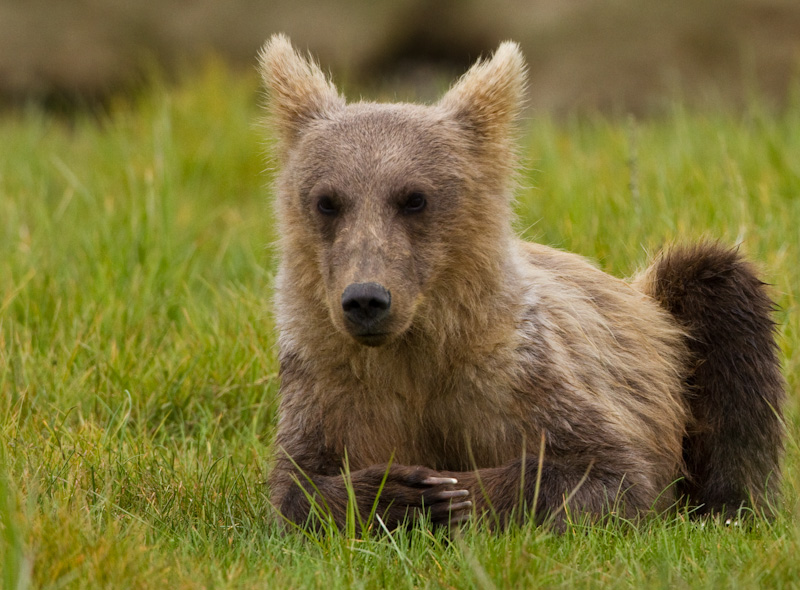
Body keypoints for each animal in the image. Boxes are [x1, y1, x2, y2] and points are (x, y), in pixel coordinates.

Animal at [260, 33, 784, 532]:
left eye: (414, 198)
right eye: (328, 200)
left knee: (721, 302)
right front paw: (397, 493)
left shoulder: (519, 376)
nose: (366, 298)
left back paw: (728, 508)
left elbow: (607, 471)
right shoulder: (329, 386)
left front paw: (449, 494)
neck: (418, 347)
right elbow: (297, 487)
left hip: (670, 322)